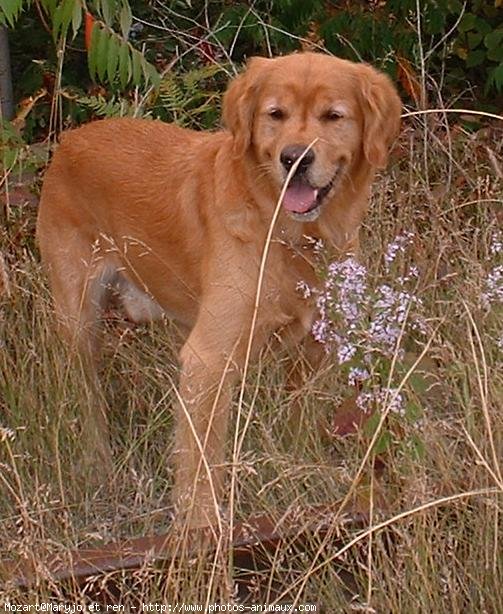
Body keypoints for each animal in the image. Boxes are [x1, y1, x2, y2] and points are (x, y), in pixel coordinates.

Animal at [37, 53, 402, 532]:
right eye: (275, 114)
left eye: (333, 116)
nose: (294, 158)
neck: (287, 235)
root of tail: (70, 139)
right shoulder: (208, 360)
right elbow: (201, 455)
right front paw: (199, 526)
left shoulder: (312, 345)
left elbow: (297, 420)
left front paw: (300, 465)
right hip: (80, 322)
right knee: (89, 401)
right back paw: (99, 464)